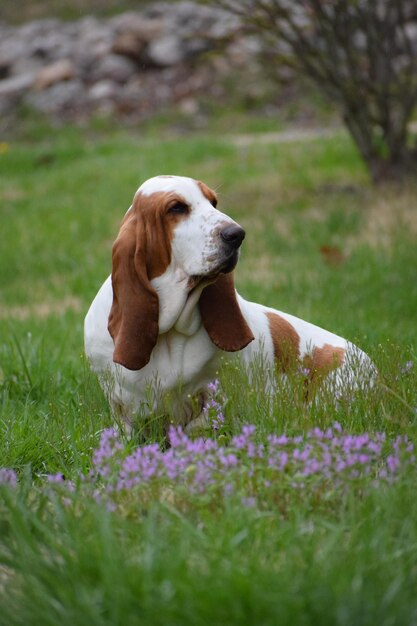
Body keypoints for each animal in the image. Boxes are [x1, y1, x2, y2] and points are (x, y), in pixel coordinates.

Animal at [83, 174, 374, 428]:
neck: (170, 331)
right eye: (176, 208)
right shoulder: (121, 405)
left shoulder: (215, 393)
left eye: (213, 202)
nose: (237, 234)